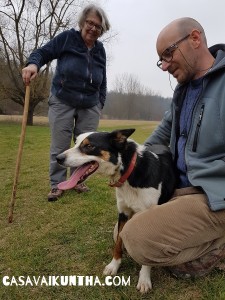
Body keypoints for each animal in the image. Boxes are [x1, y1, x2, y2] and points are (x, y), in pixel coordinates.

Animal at [55, 129, 176, 292]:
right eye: (76, 142)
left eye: (89, 146)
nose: (58, 158)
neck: (130, 171)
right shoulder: (123, 213)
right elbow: (118, 241)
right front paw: (114, 265)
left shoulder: (149, 217)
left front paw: (144, 278)